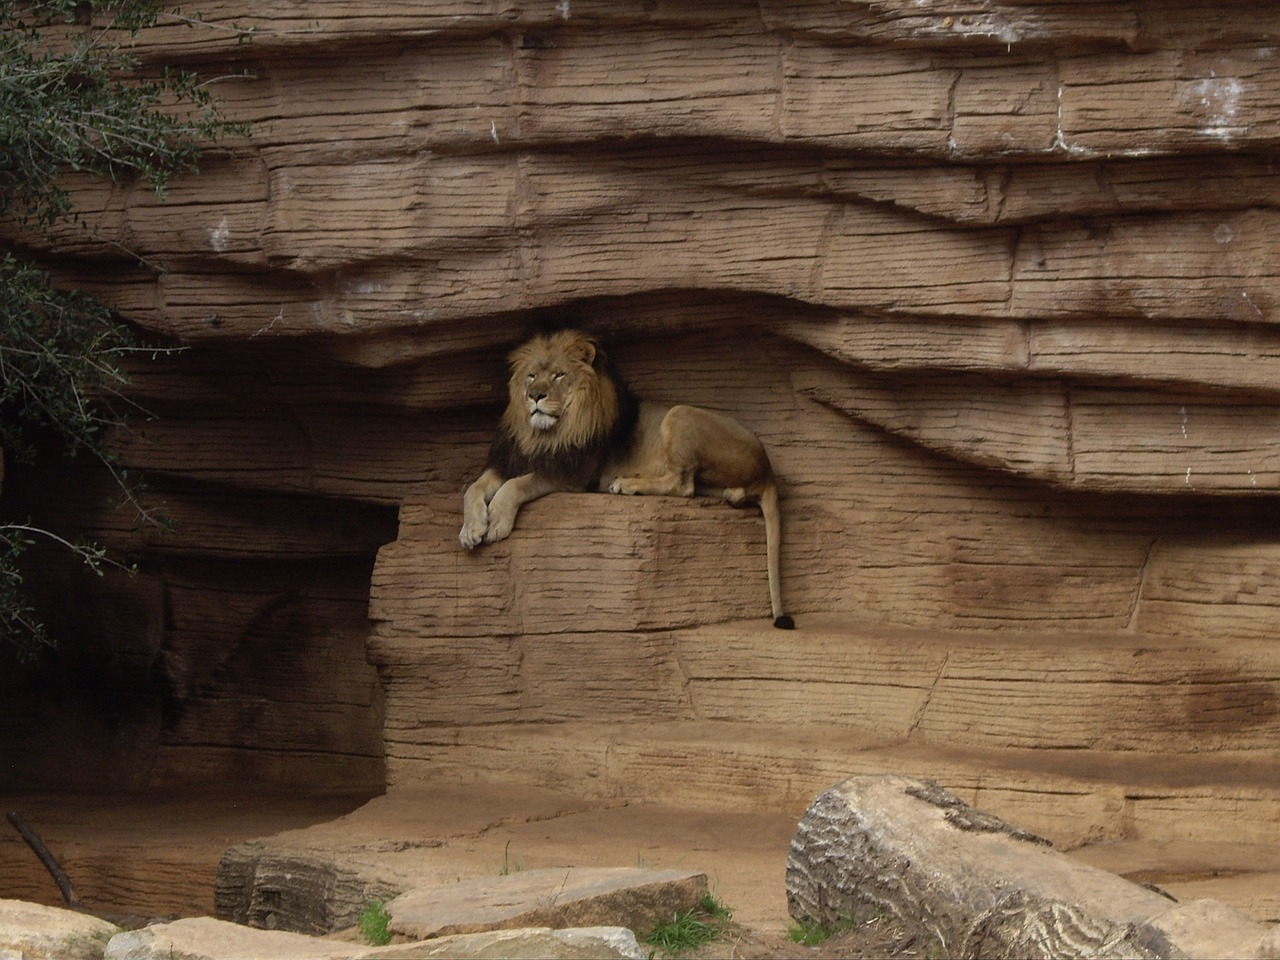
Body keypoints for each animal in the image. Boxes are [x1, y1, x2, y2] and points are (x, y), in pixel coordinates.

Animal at [450, 330, 788, 632]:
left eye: (559, 376)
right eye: (532, 376)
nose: (535, 396)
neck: (545, 436)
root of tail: (767, 467)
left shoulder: (572, 474)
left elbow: (516, 485)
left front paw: (496, 522)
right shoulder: (511, 460)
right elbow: (473, 488)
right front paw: (471, 529)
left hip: (679, 413)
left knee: (683, 484)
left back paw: (627, 484)